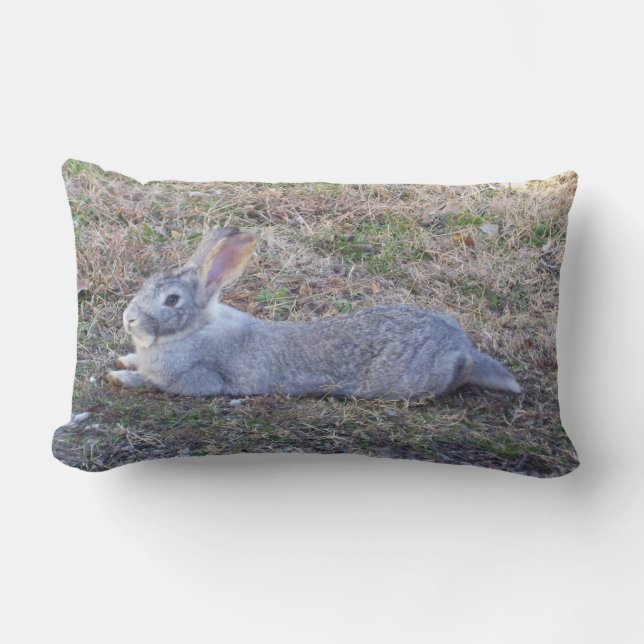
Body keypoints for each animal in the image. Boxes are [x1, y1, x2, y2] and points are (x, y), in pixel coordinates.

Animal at [107, 227, 522, 400]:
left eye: (172, 300)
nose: (128, 319)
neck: (192, 331)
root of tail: (459, 343)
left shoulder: (197, 380)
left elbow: (154, 383)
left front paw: (119, 377)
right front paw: (124, 359)